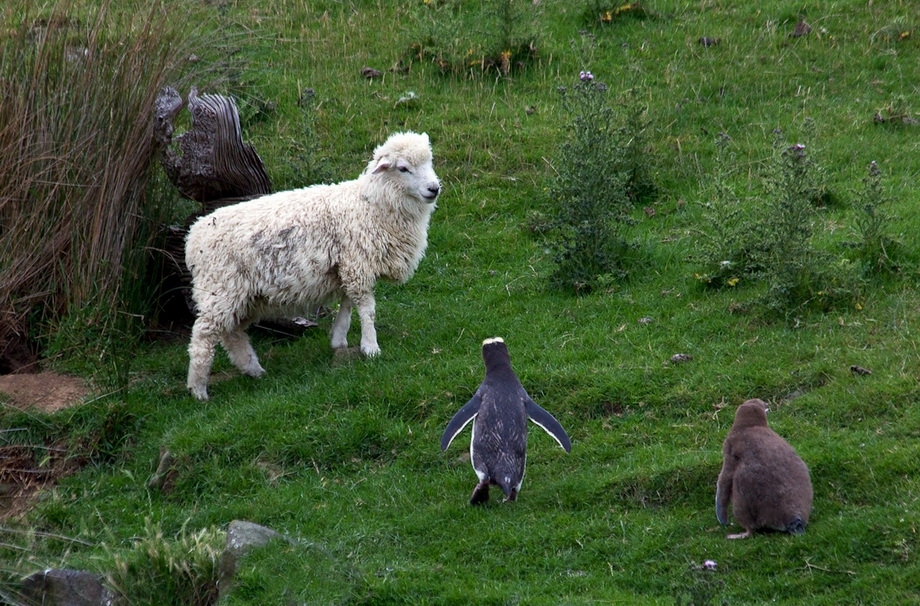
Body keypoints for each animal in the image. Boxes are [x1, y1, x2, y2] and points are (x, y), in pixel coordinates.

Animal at [184, 131, 442, 402]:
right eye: (403, 168)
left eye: (429, 161)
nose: (434, 189)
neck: (371, 205)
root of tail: (193, 238)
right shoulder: (357, 263)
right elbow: (366, 309)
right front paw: (371, 347)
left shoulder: (346, 265)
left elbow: (347, 304)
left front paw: (339, 339)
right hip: (221, 288)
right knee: (203, 336)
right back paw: (198, 389)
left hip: (245, 296)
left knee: (231, 333)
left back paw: (253, 369)